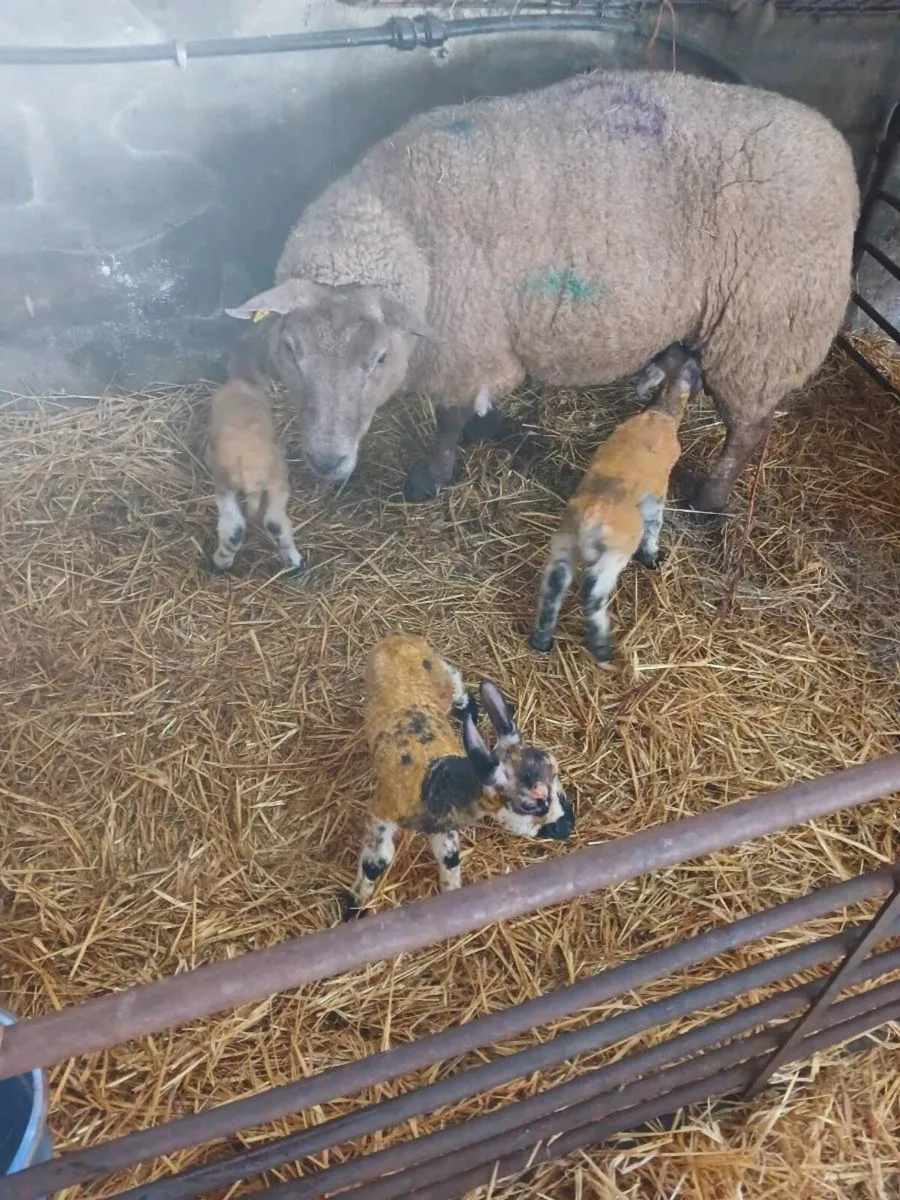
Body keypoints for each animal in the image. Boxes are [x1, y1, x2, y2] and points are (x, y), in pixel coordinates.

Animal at [225, 68, 857, 514]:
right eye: (291, 350)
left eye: (380, 358)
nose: (326, 461)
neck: (407, 226)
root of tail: (836, 146)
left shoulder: (468, 345)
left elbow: (449, 419)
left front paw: (431, 476)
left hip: (766, 326)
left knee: (750, 427)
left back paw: (711, 499)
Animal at [344, 634, 575, 918]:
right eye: (529, 804)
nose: (568, 826)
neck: (435, 778)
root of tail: (397, 638)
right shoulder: (383, 812)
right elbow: (376, 863)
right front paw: (354, 906)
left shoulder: (445, 825)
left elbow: (449, 857)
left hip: (439, 678)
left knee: (456, 681)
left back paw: (469, 713)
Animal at [530, 343, 703, 662]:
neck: (661, 411)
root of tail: (591, 518)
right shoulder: (657, 492)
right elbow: (654, 524)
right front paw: (652, 557)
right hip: (614, 553)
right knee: (592, 588)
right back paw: (601, 646)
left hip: (563, 543)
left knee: (553, 586)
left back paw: (541, 640)